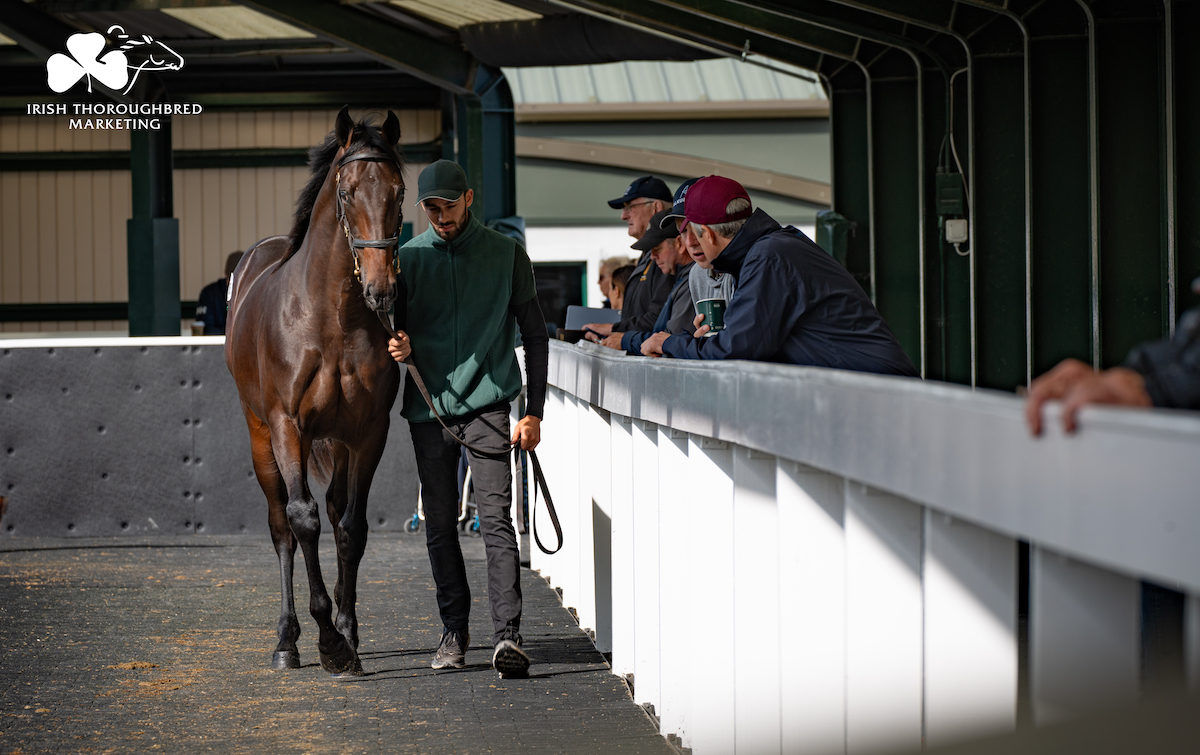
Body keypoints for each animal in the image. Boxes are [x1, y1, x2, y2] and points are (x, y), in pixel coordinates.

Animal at [226, 107, 405, 676]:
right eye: (346, 192)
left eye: (399, 191)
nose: (381, 289)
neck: (333, 320)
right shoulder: (288, 427)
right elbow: (302, 521)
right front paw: (327, 641)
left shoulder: (368, 433)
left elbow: (351, 527)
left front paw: (347, 633)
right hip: (260, 435)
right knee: (282, 524)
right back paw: (287, 641)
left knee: (334, 510)